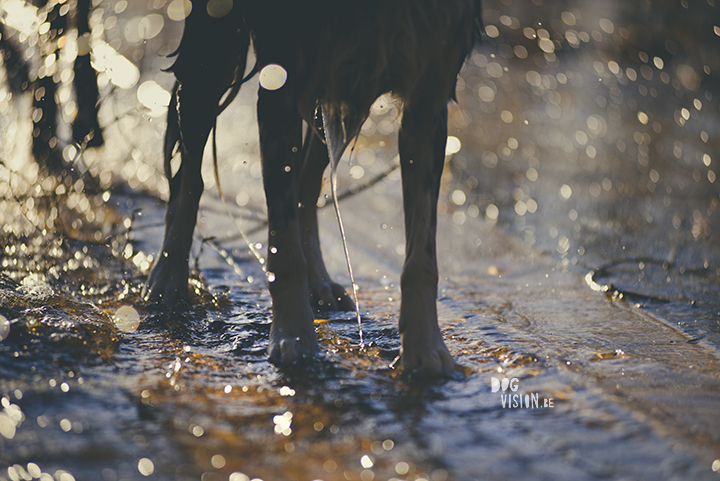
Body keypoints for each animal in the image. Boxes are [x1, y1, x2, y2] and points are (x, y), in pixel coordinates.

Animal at [145, 0, 484, 376]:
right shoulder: (281, 79)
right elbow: (284, 246)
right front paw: (294, 336)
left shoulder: (429, 88)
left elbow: (421, 253)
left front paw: (425, 348)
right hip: (214, 42)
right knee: (190, 172)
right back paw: (168, 277)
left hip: (343, 78)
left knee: (306, 181)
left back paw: (318, 281)